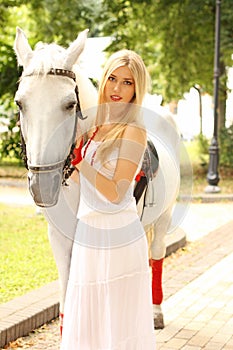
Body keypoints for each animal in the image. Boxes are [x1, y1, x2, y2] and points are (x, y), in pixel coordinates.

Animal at [13, 26, 181, 328]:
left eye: (70, 104)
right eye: (20, 103)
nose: (43, 186)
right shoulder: (59, 239)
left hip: (165, 215)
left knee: (157, 253)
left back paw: (155, 310)